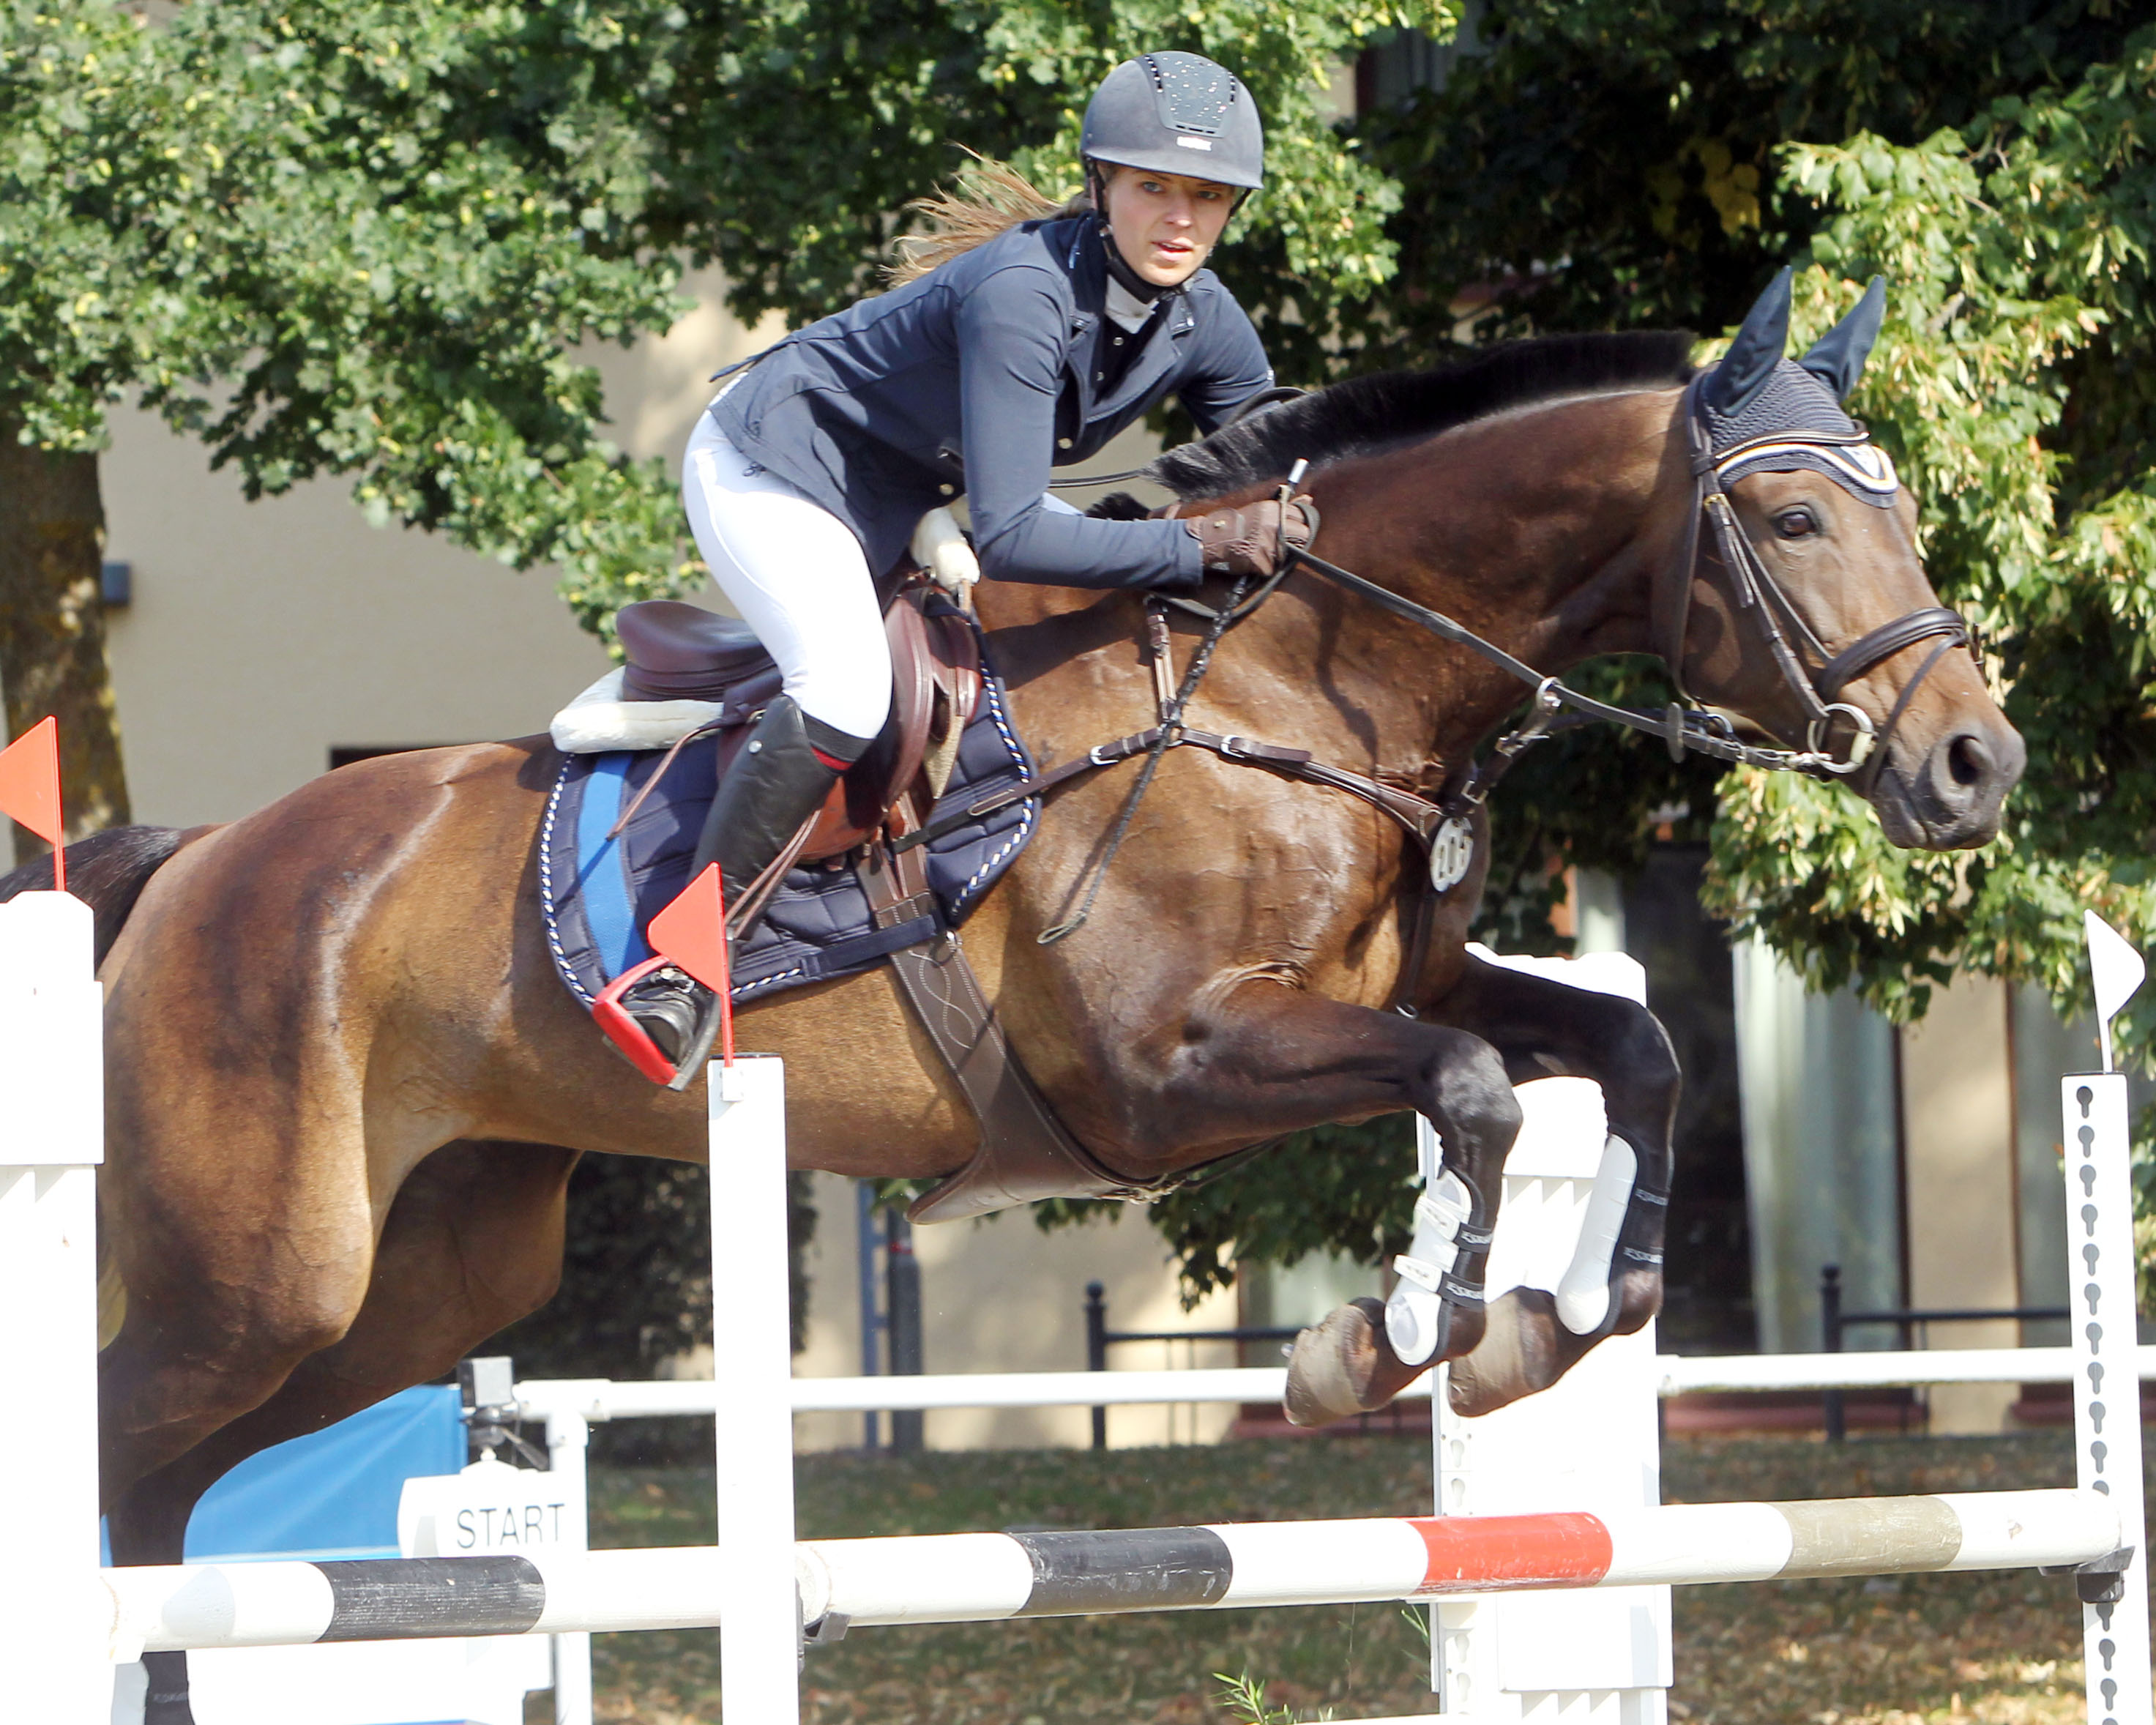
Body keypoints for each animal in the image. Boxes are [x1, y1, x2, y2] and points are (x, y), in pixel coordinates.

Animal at [46, 275, 2000, 1716]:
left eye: (1895, 507)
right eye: (1792, 513)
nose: (1973, 767)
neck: (1302, 679)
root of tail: (204, 855)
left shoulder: (1411, 983)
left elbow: (1627, 1046)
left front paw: (1561, 1313)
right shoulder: (1165, 1069)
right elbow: (1468, 1084)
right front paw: (1391, 1336)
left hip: (423, 1279)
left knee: (159, 1500)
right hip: (266, 1270)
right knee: (117, 1454)